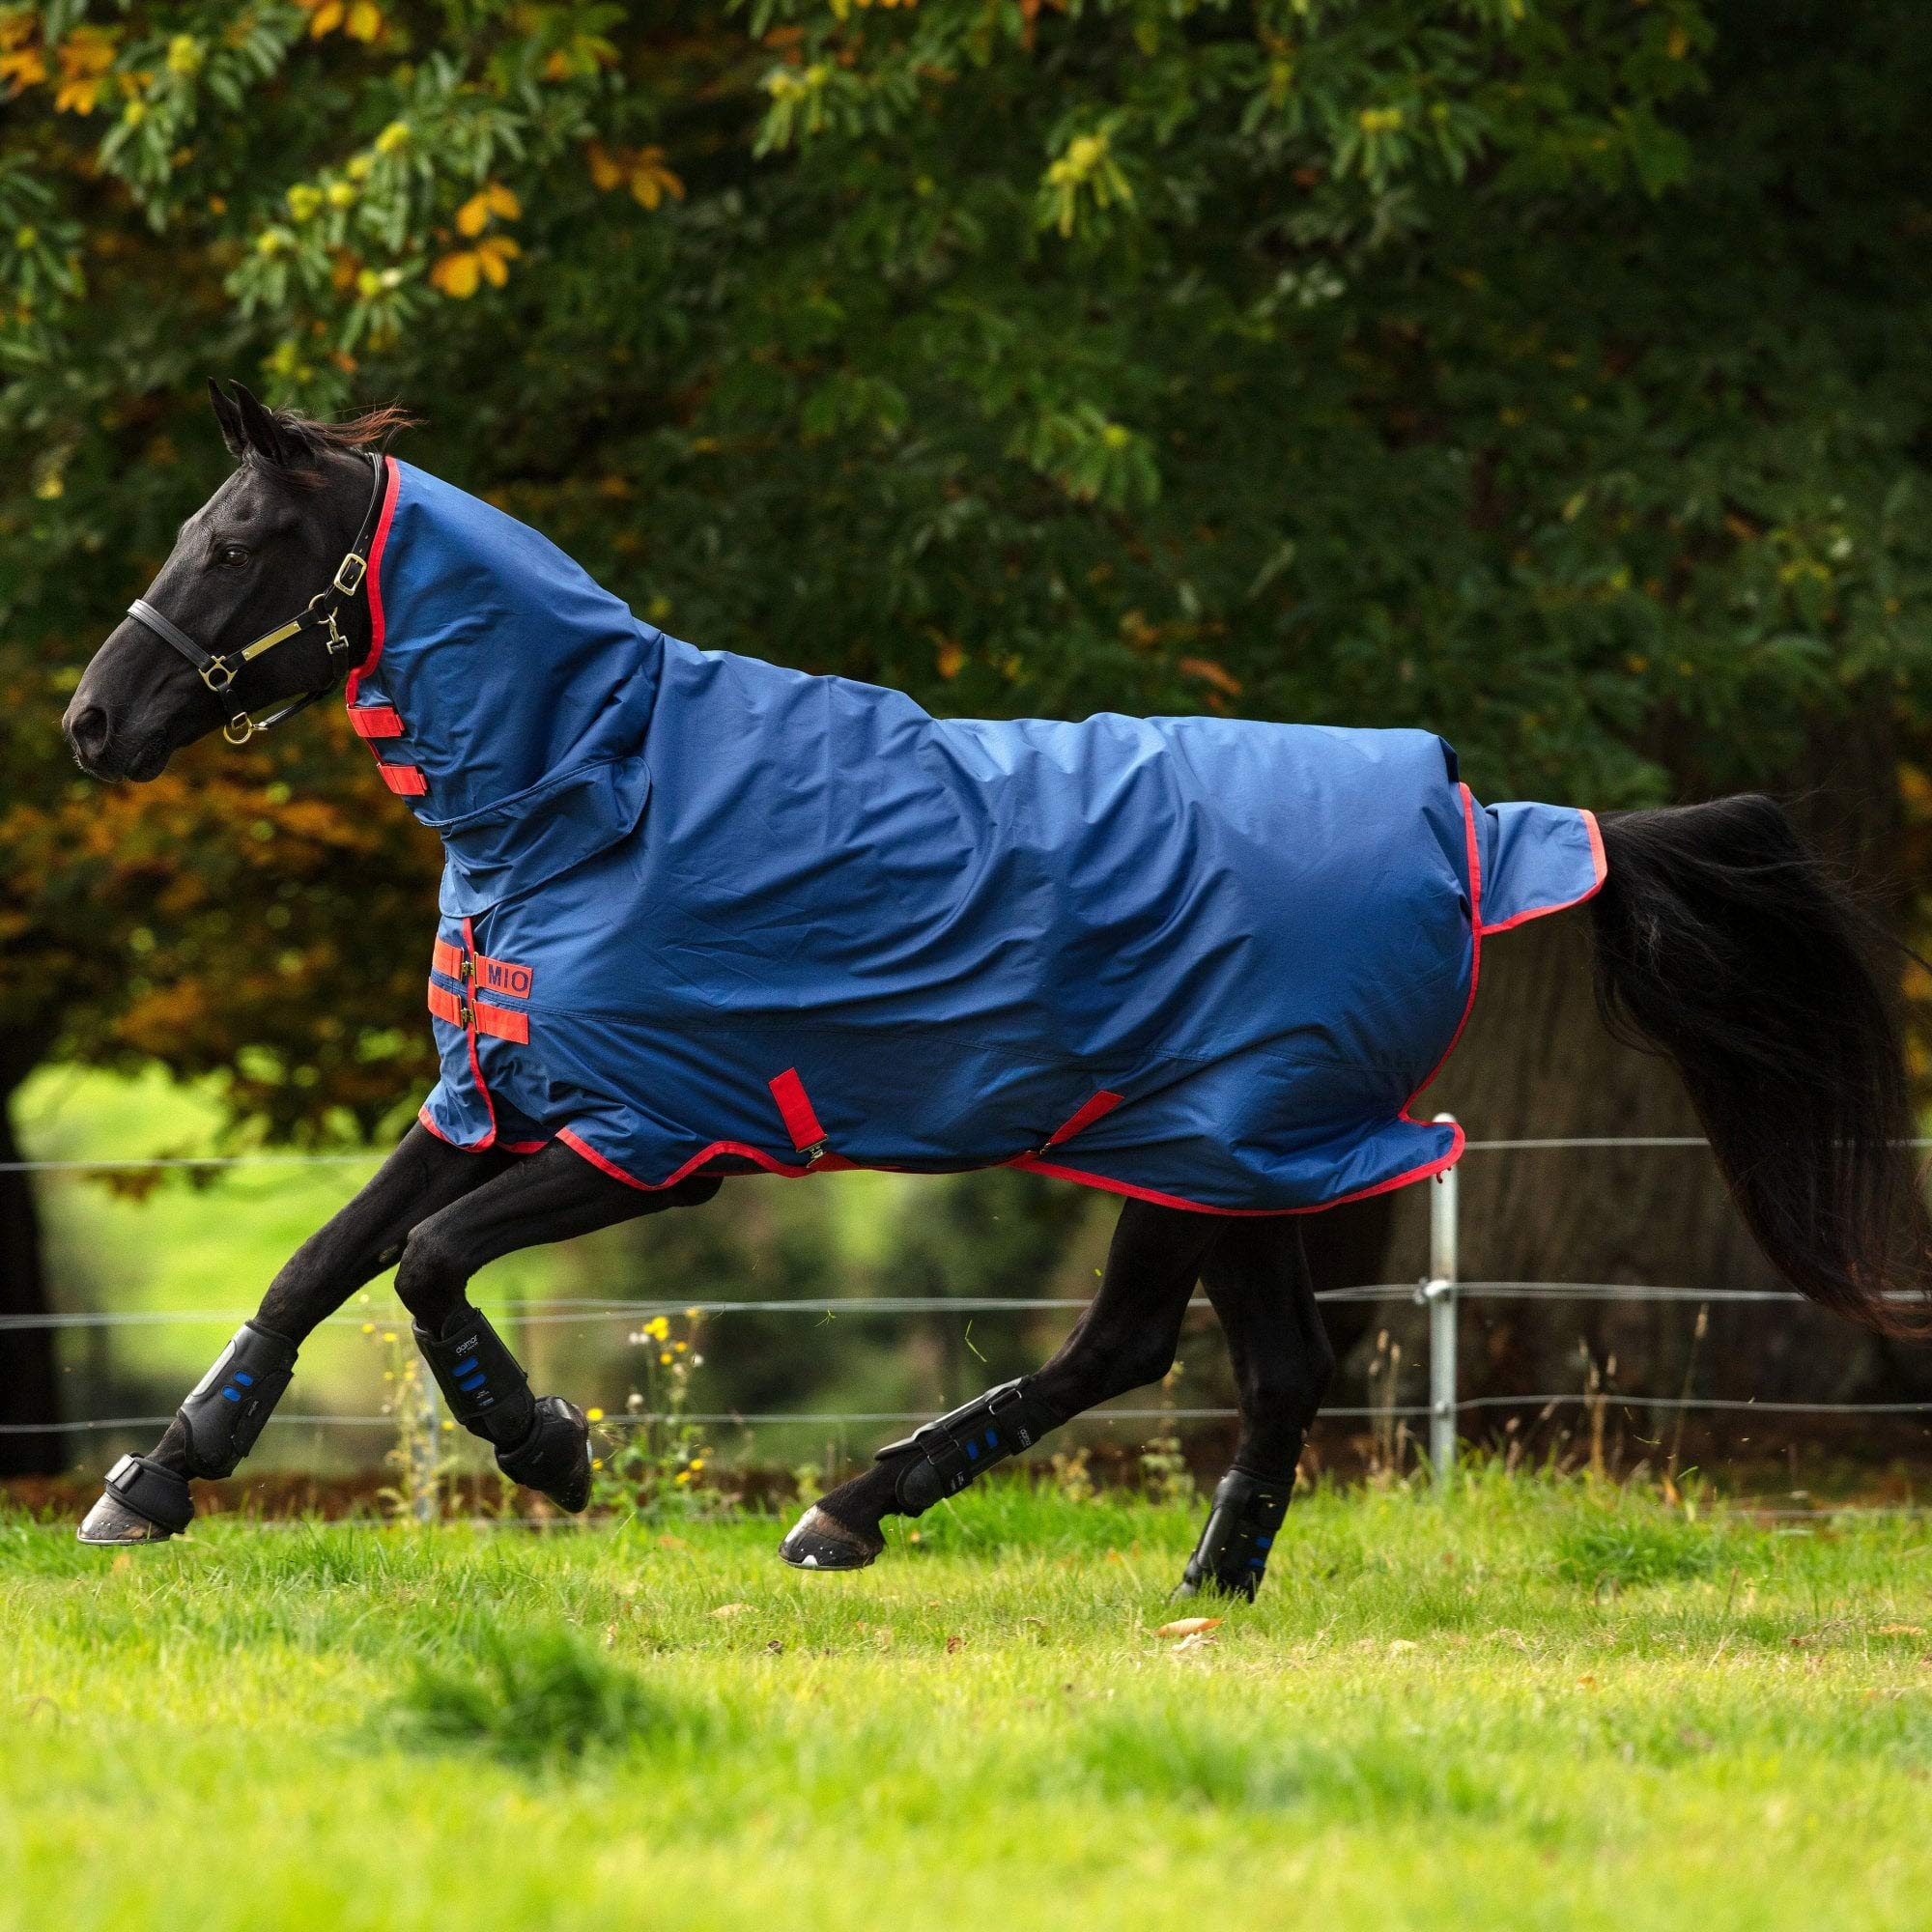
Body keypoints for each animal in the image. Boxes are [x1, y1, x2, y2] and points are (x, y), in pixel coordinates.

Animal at [60, 382, 1932, 1587]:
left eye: (235, 541)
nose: (90, 723)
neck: (598, 790)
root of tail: (1479, 822)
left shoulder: (659, 1137)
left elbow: (431, 1269)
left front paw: (548, 1448)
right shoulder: (494, 1097)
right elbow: (321, 1266)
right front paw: (155, 1482)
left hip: (1224, 1145)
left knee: (1198, 1357)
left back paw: (912, 1524)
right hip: (1209, 1155)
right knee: (1208, 1359)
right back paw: (1103, 1564)